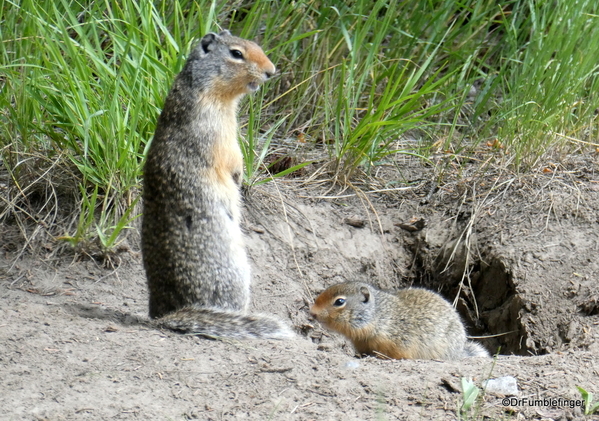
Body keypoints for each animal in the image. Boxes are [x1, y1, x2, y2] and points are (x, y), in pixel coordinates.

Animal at [143, 30, 292, 338]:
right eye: (236, 53)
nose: (271, 72)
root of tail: (166, 314)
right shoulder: (217, 131)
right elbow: (231, 157)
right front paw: (239, 176)